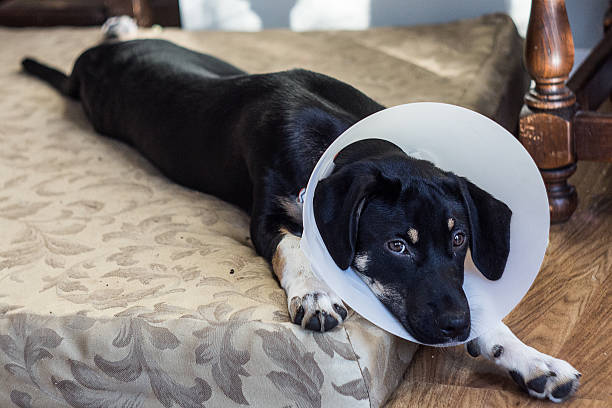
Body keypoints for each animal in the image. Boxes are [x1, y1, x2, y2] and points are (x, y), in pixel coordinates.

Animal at [20, 17, 580, 404]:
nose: (455, 328)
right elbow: (293, 247)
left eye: (460, 239)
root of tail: (86, 65)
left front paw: (533, 361)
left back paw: (124, 23)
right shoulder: (266, 219)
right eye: (397, 245)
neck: (336, 132)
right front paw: (313, 294)